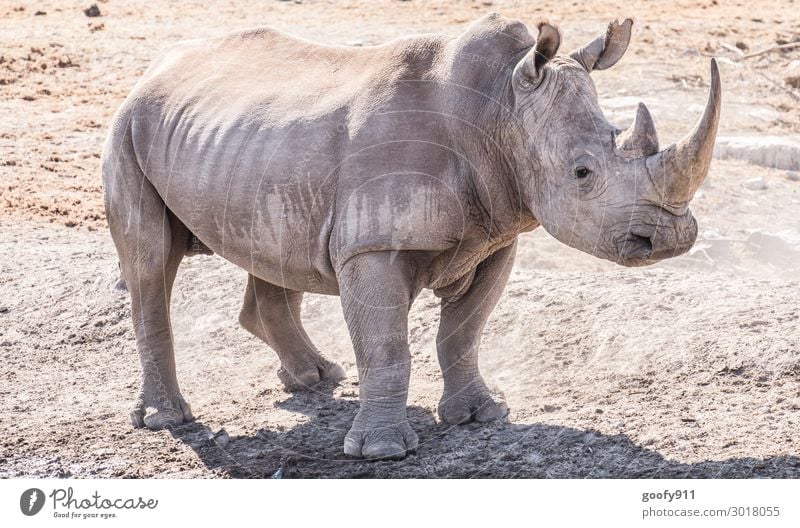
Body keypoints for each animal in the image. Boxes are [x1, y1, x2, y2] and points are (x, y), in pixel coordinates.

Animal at [100, 12, 720, 458]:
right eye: (583, 173)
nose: (671, 237)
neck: (500, 107)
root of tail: (157, 68)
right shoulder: (369, 246)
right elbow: (387, 346)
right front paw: (381, 452)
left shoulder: (495, 234)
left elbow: (464, 332)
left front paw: (481, 415)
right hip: (129, 124)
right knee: (150, 264)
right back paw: (166, 418)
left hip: (248, 144)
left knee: (273, 250)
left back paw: (315, 379)